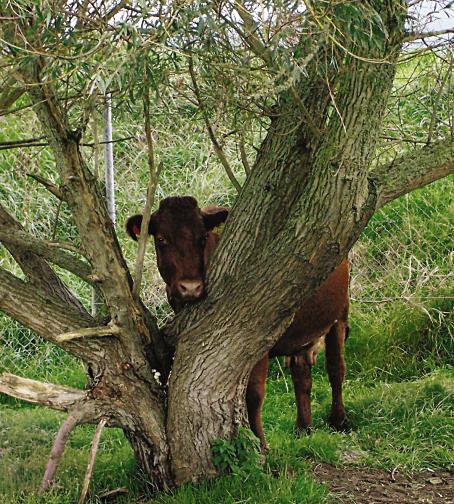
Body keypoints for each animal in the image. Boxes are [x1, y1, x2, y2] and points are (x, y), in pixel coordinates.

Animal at [126, 197, 350, 448]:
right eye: (162, 239)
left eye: (202, 237)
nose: (191, 287)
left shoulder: (258, 334)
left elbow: (253, 395)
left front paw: (261, 444)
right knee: (301, 373)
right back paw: (304, 428)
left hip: (340, 314)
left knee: (336, 368)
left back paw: (339, 420)